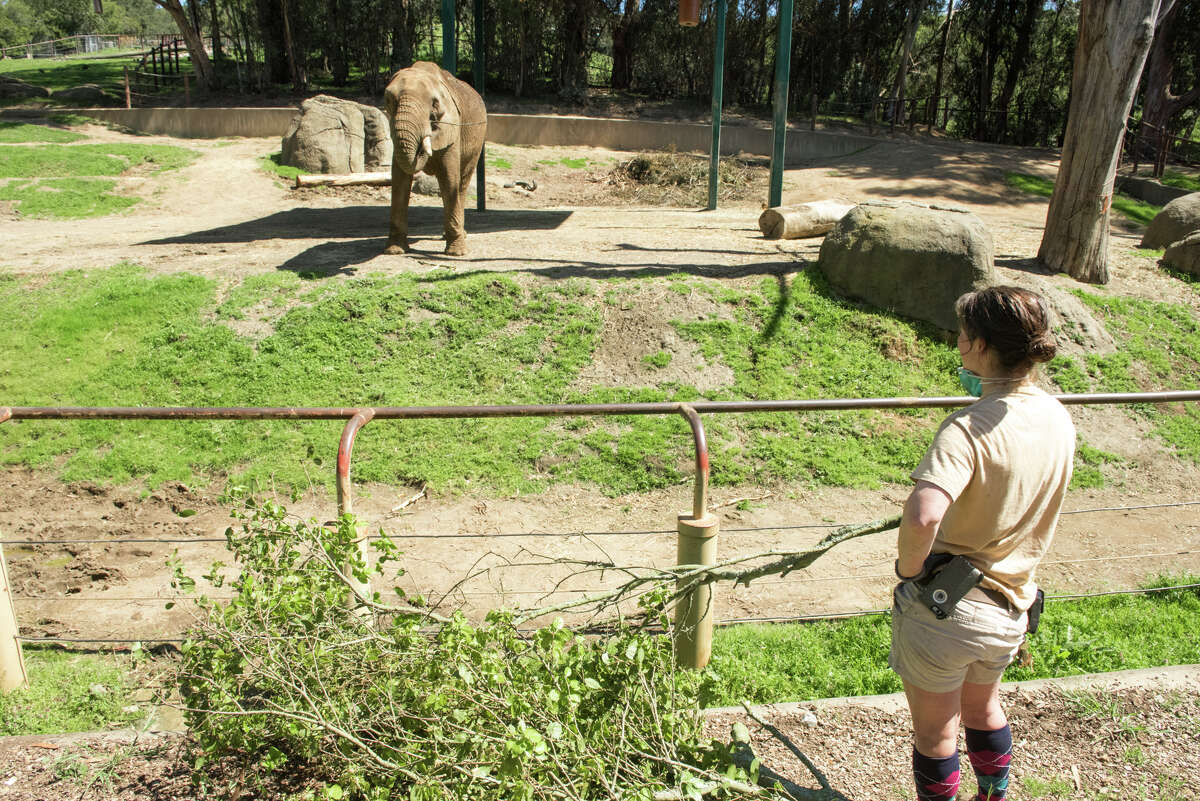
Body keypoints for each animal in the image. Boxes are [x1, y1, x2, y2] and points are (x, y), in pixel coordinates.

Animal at [384, 62, 487, 256]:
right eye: (389, 101)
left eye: (434, 104)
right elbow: (400, 180)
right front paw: (395, 251)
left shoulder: (453, 127)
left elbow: (449, 178)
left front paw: (456, 254)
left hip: (479, 138)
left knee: (461, 183)